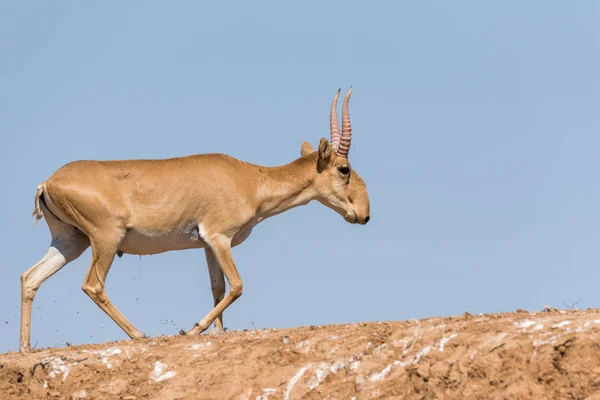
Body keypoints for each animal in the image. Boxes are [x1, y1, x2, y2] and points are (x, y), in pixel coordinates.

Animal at [19, 86, 370, 352]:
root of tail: (48, 182)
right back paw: (139, 334)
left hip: (70, 242)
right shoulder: (219, 237)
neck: (249, 179)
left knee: (30, 278)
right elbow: (237, 286)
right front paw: (192, 329)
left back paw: (25, 348)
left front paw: (216, 333)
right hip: (105, 240)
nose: (364, 214)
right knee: (93, 285)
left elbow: (218, 288)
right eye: (344, 169)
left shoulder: (207, 246)